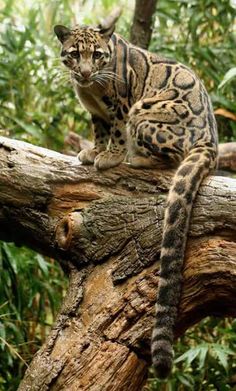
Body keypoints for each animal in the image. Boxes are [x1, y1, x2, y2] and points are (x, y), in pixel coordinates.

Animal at [54, 9, 218, 380]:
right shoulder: (95, 112)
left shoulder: (120, 104)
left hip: (145, 110)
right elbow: (99, 131)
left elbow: (114, 130)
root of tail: (211, 140)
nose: (85, 72)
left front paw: (111, 156)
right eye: (75, 54)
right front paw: (92, 152)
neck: (89, 89)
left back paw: (136, 158)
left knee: (168, 155)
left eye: (97, 55)